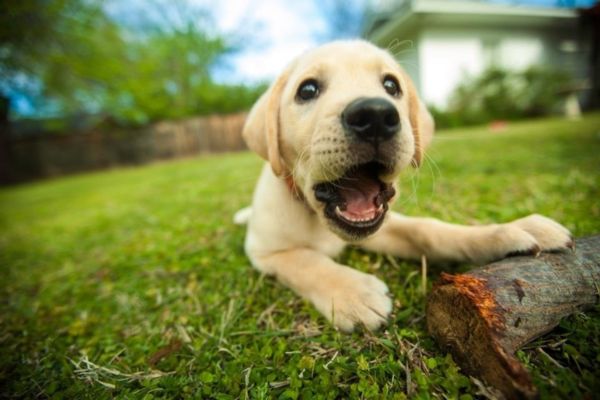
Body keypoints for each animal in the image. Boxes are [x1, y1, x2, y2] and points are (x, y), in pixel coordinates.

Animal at [236, 39, 572, 332]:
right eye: (307, 89)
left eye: (390, 85)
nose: (375, 114)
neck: (316, 217)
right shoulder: (267, 252)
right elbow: (307, 261)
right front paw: (355, 293)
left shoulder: (383, 227)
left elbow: (428, 230)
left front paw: (508, 230)